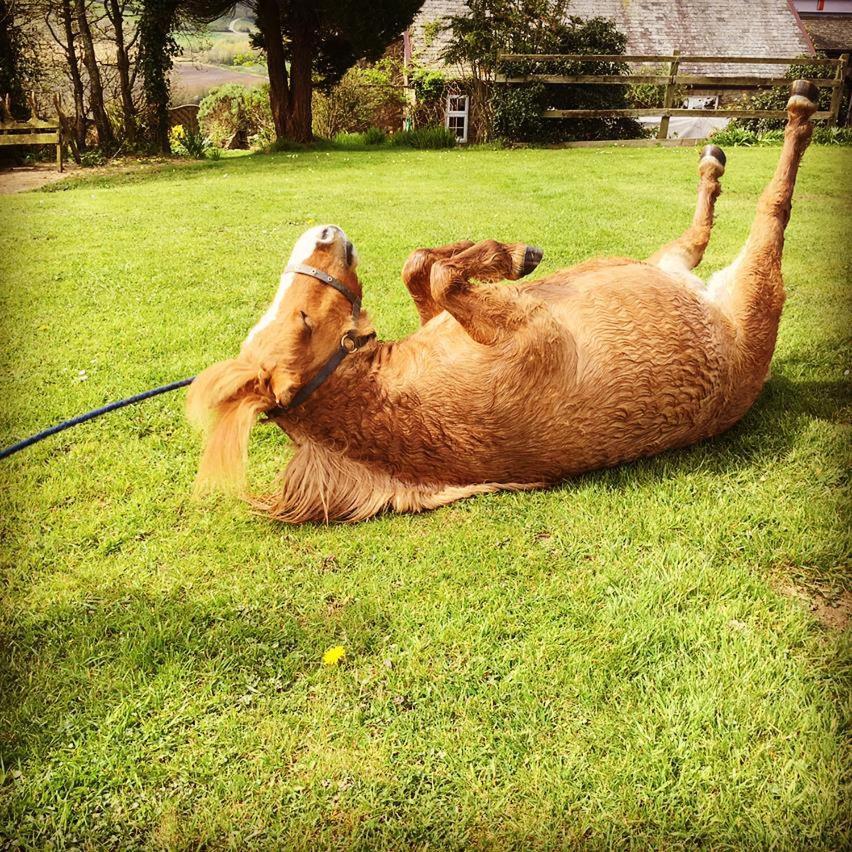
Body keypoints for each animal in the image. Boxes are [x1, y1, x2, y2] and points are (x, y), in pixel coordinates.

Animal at [188, 83, 820, 524]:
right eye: (300, 322)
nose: (324, 234)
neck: (401, 391)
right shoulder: (529, 328)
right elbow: (445, 277)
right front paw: (516, 258)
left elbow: (420, 265)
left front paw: (512, 256)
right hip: (757, 286)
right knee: (773, 206)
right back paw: (795, 110)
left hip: (668, 262)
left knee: (696, 234)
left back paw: (712, 161)